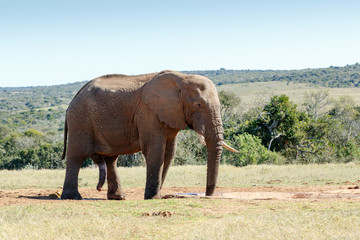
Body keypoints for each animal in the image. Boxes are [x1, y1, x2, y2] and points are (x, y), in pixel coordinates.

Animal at [60, 70, 238, 200]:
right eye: (199, 105)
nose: (208, 195)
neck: (182, 78)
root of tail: (73, 99)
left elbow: (168, 153)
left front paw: (156, 194)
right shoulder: (148, 113)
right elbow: (155, 151)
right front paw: (153, 197)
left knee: (111, 159)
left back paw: (118, 197)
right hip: (80, 121)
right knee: (76, 156)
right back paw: (72, 197)